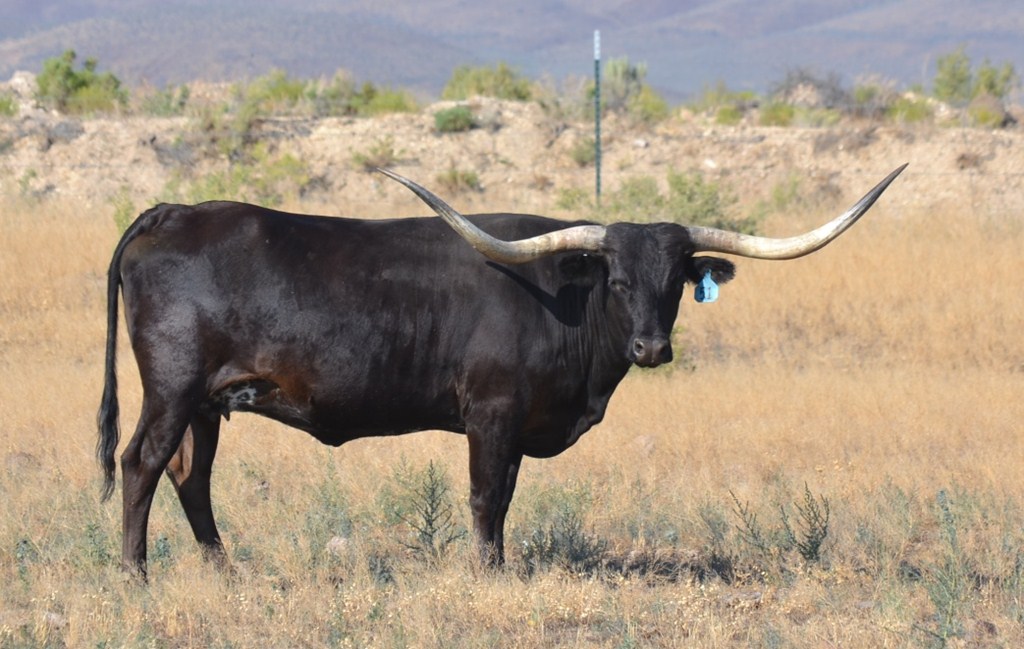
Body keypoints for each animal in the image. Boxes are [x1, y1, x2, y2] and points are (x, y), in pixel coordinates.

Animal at [97, 164, 906, 577]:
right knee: (141, 464)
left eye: (677, 280)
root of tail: (174, 210)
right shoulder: (490, 414)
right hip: (172, 387)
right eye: (616, 279)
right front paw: (489, 574)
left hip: (209, 401)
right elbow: (487, 499)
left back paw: (222, 569)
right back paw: (137, 576)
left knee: (190, 476)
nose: (652, 349)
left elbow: (507, 499)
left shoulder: (514, 427)